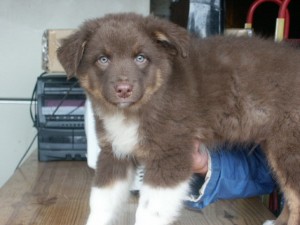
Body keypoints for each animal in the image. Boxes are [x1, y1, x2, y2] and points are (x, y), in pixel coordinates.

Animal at [57, 13, 300, 225]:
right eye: (103, 59)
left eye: (140, 58)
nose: (123, 90)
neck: (134, 111)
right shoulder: (115, 152)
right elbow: (100, 203)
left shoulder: (170, 154)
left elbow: (148, 212)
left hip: (287, 146)